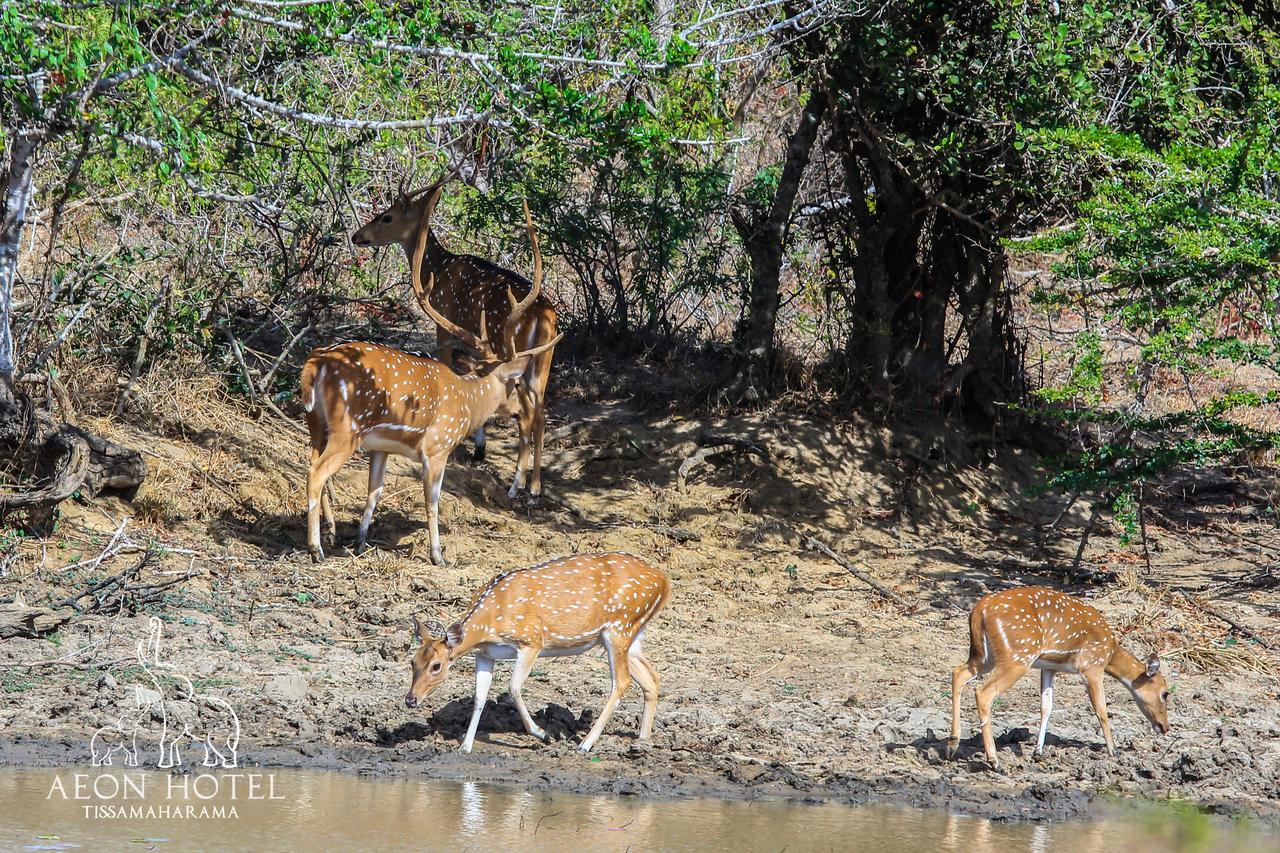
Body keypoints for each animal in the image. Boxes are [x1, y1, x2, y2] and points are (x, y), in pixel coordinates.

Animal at [350, 179, 555, 499]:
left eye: (386, 217)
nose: (357, 236)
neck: (437, 266)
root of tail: (546, 319)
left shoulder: (443, 323)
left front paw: (474, 445)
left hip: (513, 348)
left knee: (527, 415)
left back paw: (517, 485)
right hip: (541, 362)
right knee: (541, 413)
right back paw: (534, 486)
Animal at [407, 550, 670, 753]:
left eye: (436, 666)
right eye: (412, 662)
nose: (410, 699)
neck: (489, 624)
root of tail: (663, 581)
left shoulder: (531, 640)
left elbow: (513, 687)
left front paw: (543, 734)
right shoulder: (486, 654)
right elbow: (479, 698)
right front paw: (465, 747)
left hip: (619, 627)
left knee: (622, 681)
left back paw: (585, 744)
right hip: (632, 634)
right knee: (652, 678)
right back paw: (642, 740)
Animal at [942, 584, 1172, 763]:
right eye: (1165, 693)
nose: (1165, 727)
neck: (1110, 653)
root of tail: (979, 610)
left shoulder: (1049, 667)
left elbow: (1046, 707)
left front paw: (1038, 752)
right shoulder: (1091, 666)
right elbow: (1101, 709)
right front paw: (1113, 750)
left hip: (983, 656)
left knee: (958, 673)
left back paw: (952, 745)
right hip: (1017, 656)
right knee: (983, 692)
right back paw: (993, 760)